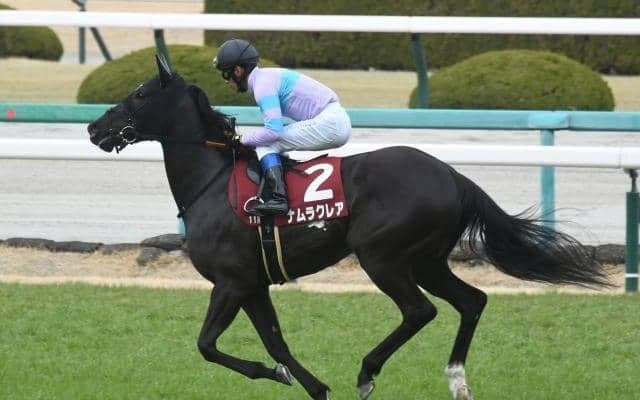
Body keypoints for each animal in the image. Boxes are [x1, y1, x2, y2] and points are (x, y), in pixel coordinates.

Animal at [87, 56, 610, 400]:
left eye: (139, 94)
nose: (95, 128)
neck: (211, 184)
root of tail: (453, 176)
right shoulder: (253, 283)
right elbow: (275, 340)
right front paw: (309, 384)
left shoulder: (231, 282)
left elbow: (207, 345)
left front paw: (285, 376)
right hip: (426, 258)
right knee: (471, 301)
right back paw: (457, 379)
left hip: (382, 254)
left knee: (420, 310)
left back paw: (368, 371)